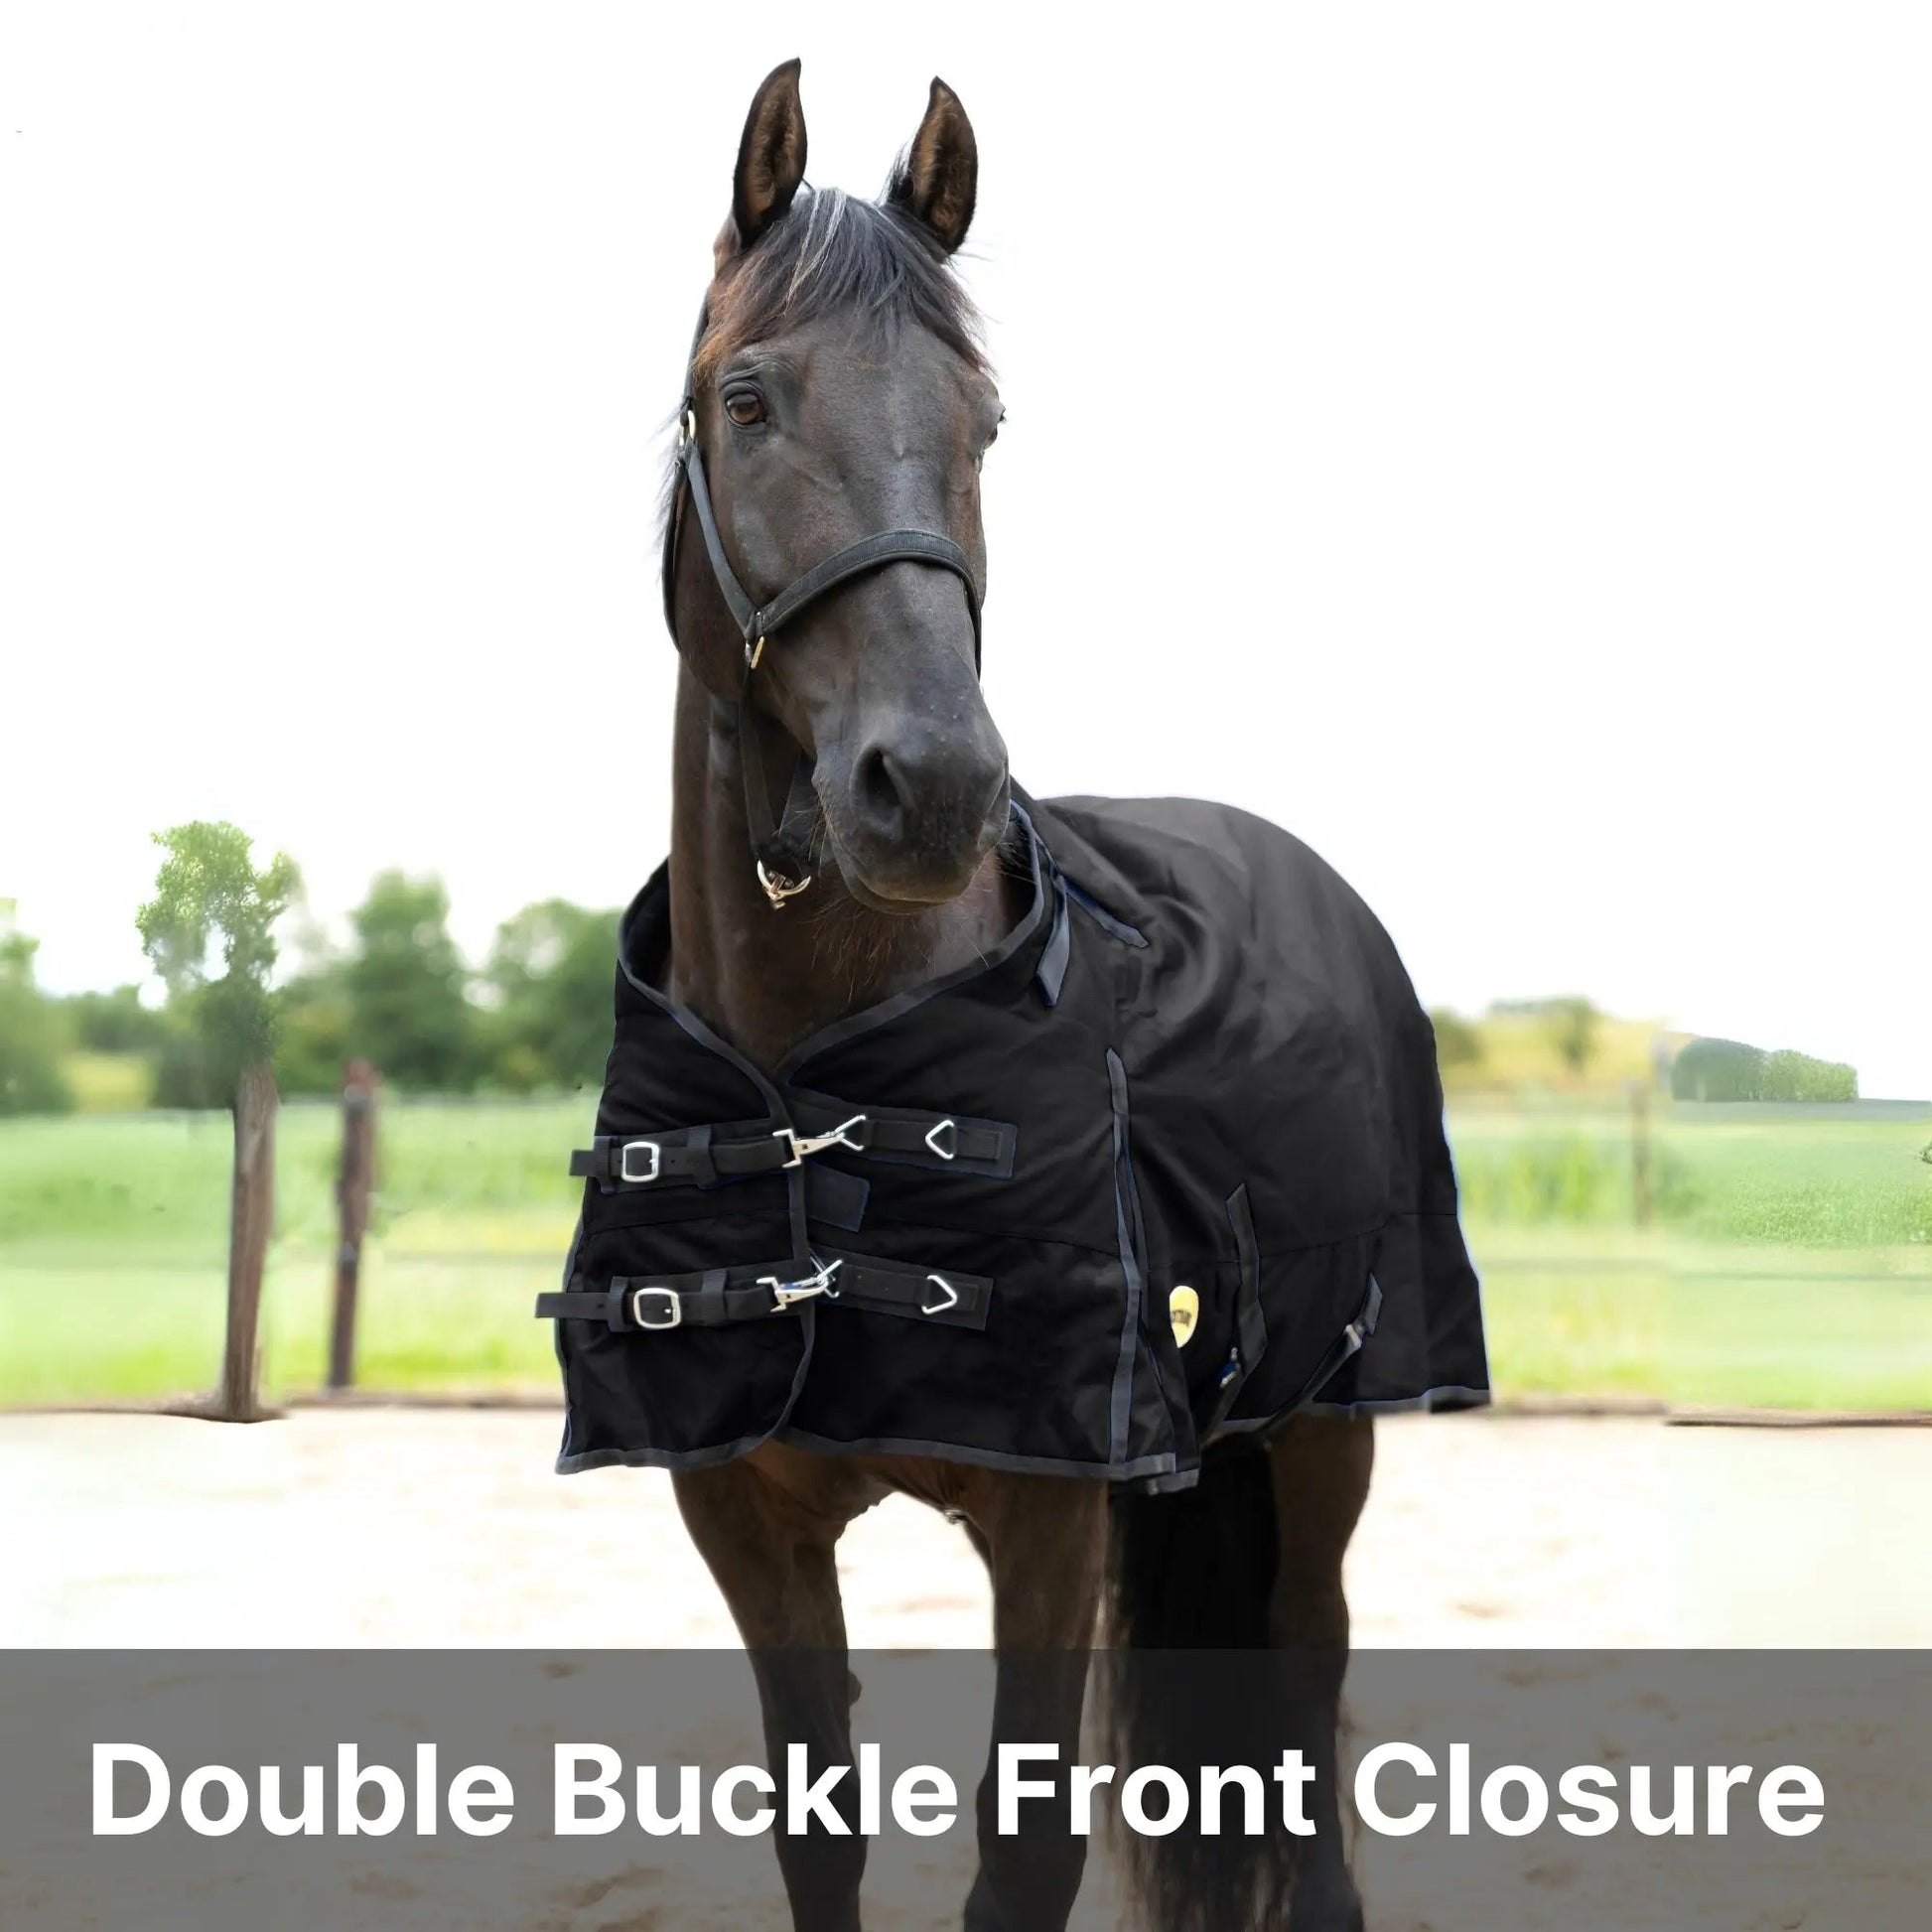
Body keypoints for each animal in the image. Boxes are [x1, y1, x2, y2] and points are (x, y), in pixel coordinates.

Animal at [614, 59, 1388, 1931]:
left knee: (1305, 1679)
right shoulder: (746, 1523)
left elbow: (1021, 1852)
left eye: (985, 420)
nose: (935, 785)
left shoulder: (1051, 1523)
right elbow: (817, 1827)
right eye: (746, 397)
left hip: (1327, 1435)